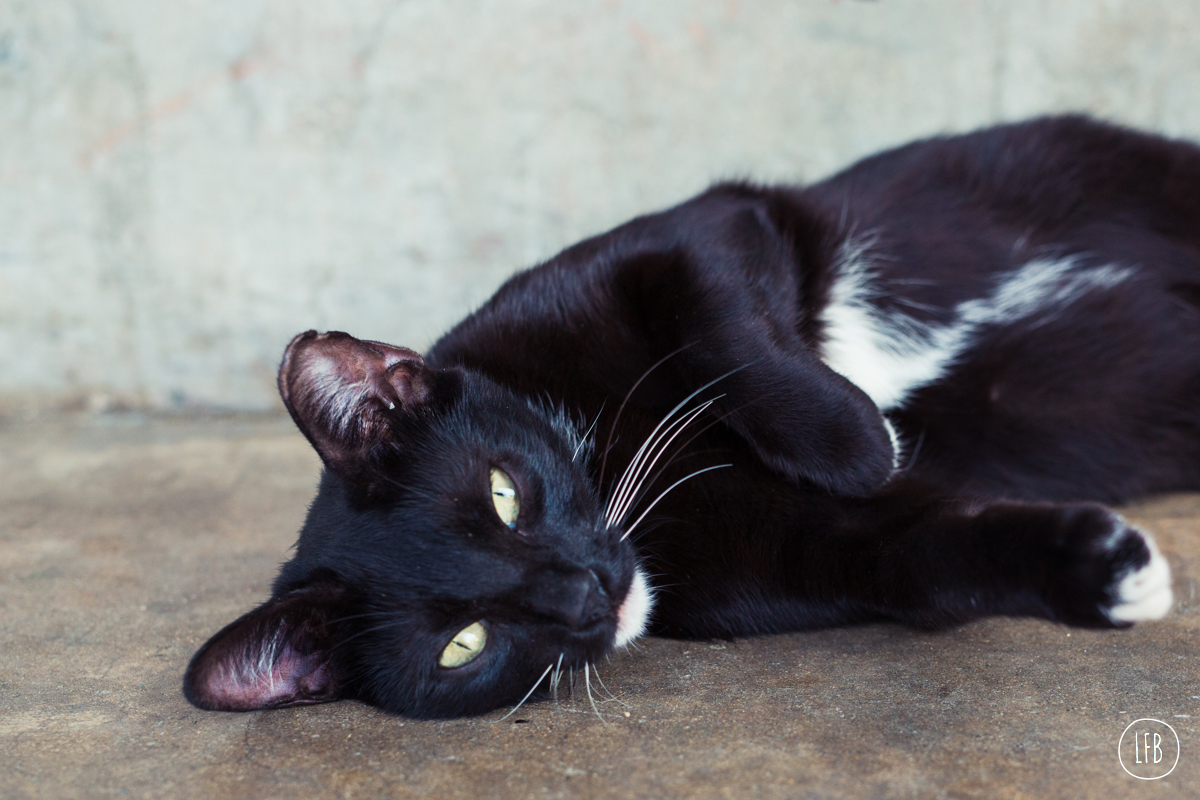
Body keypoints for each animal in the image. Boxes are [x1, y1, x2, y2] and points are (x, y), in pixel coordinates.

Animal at [182, 112, 1185, 719]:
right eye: (464, 644)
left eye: (504, 493)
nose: (586, 592)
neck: (615, 457)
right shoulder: (802, 554)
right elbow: (930, 558)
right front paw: (1100, 573)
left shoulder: (693, 231)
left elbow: (717, 319)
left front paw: (859, 439)